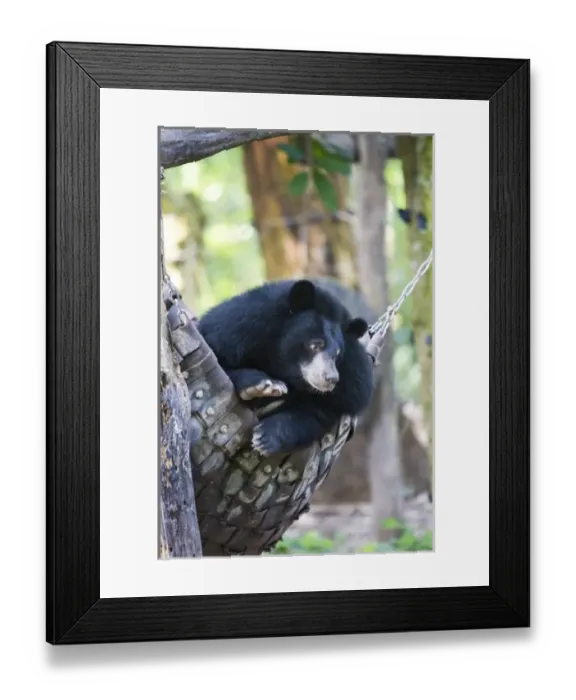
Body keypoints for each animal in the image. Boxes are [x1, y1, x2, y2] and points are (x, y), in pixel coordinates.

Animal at [196, 278, 375, 457]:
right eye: (315, 345)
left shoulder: (349, 386)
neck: (284, 367)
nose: (331, 379)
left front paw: (266, 437)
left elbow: (317, 413)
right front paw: (264, 385)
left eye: (337, 355)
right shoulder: (238, 330)